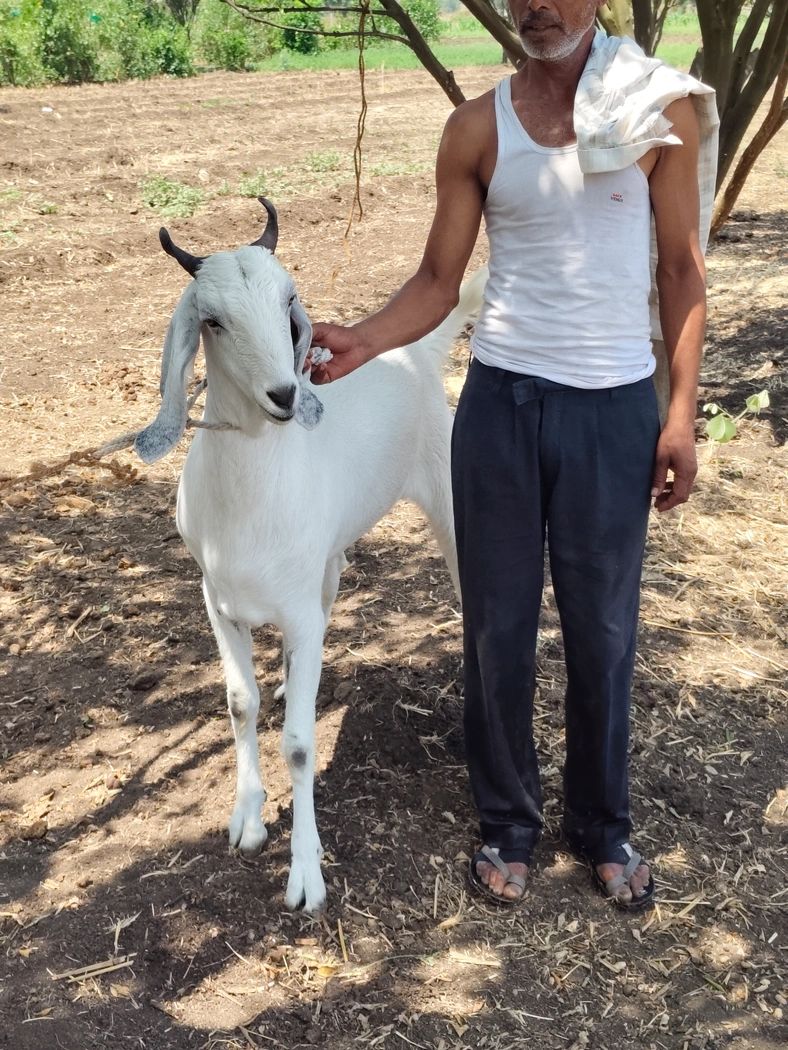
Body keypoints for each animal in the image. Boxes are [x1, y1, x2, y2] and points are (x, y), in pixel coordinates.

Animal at [135, 199, 485, 912]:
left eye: (287, 301)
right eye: (212, 320)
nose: (285, 395)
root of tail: (416, 355)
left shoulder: (294, 611)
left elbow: (298, 745)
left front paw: (305, 873)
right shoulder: (219, 603)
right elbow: (240, 704)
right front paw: (247, 818)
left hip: (447, 501)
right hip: (323, 565)